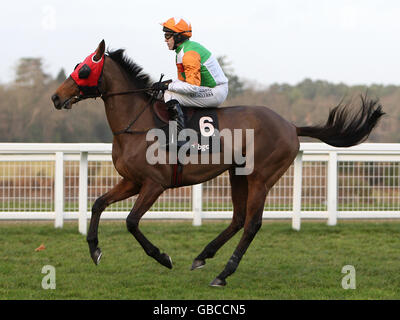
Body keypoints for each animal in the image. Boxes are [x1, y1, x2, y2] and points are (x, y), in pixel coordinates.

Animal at [50, 40, 384, 288]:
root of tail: (290, 125)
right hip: (238, 173)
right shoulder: (132, 181)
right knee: (238, 218)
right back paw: (203, 255)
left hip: (261, 177)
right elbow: (97, 203)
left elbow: (131, 222)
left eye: (84, 68)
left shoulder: (154, 184)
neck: (138, 124)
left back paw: (223, 273)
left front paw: (162, 257)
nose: (55, 97)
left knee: (252, 224)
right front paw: (94, 249)